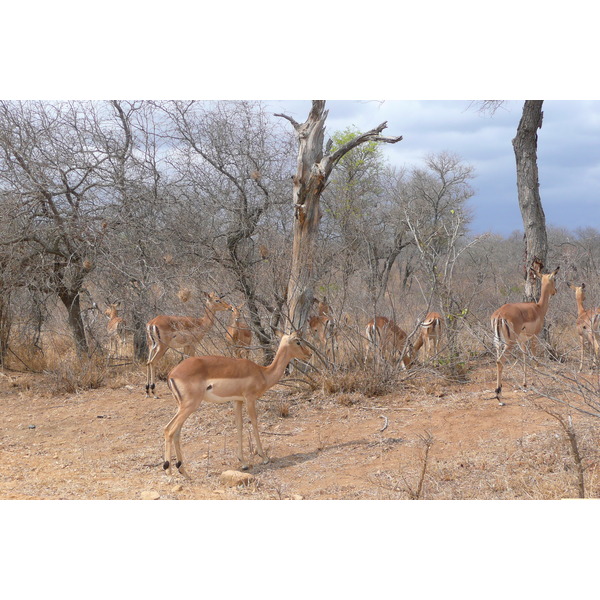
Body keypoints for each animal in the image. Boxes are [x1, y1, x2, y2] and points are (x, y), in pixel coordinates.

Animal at [164, 330, 314, 476]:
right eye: (298, 341)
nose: (309, 354)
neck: (262, 372)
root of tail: (171, 374)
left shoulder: (237, 401)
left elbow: (239, 425)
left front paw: (243, 462)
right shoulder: (250, 399)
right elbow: (254, 423)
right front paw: (264, 457)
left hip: (182, 406)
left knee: (174, 431)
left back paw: (183, 472)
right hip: (190, 405)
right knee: (170, 430)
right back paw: (168, 470)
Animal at [490, 266, 560, 404]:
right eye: (554, 279)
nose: (555, 291)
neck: (538, 308)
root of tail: (499, 315)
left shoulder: (521, 340)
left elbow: (524, 358)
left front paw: (524, 384)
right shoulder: (534, 337)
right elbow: (533, 358)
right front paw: (535, 382)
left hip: (498, 342)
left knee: (497, 360)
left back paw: (499, 392)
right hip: (509, 344)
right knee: (500, 361)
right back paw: (498, 396)